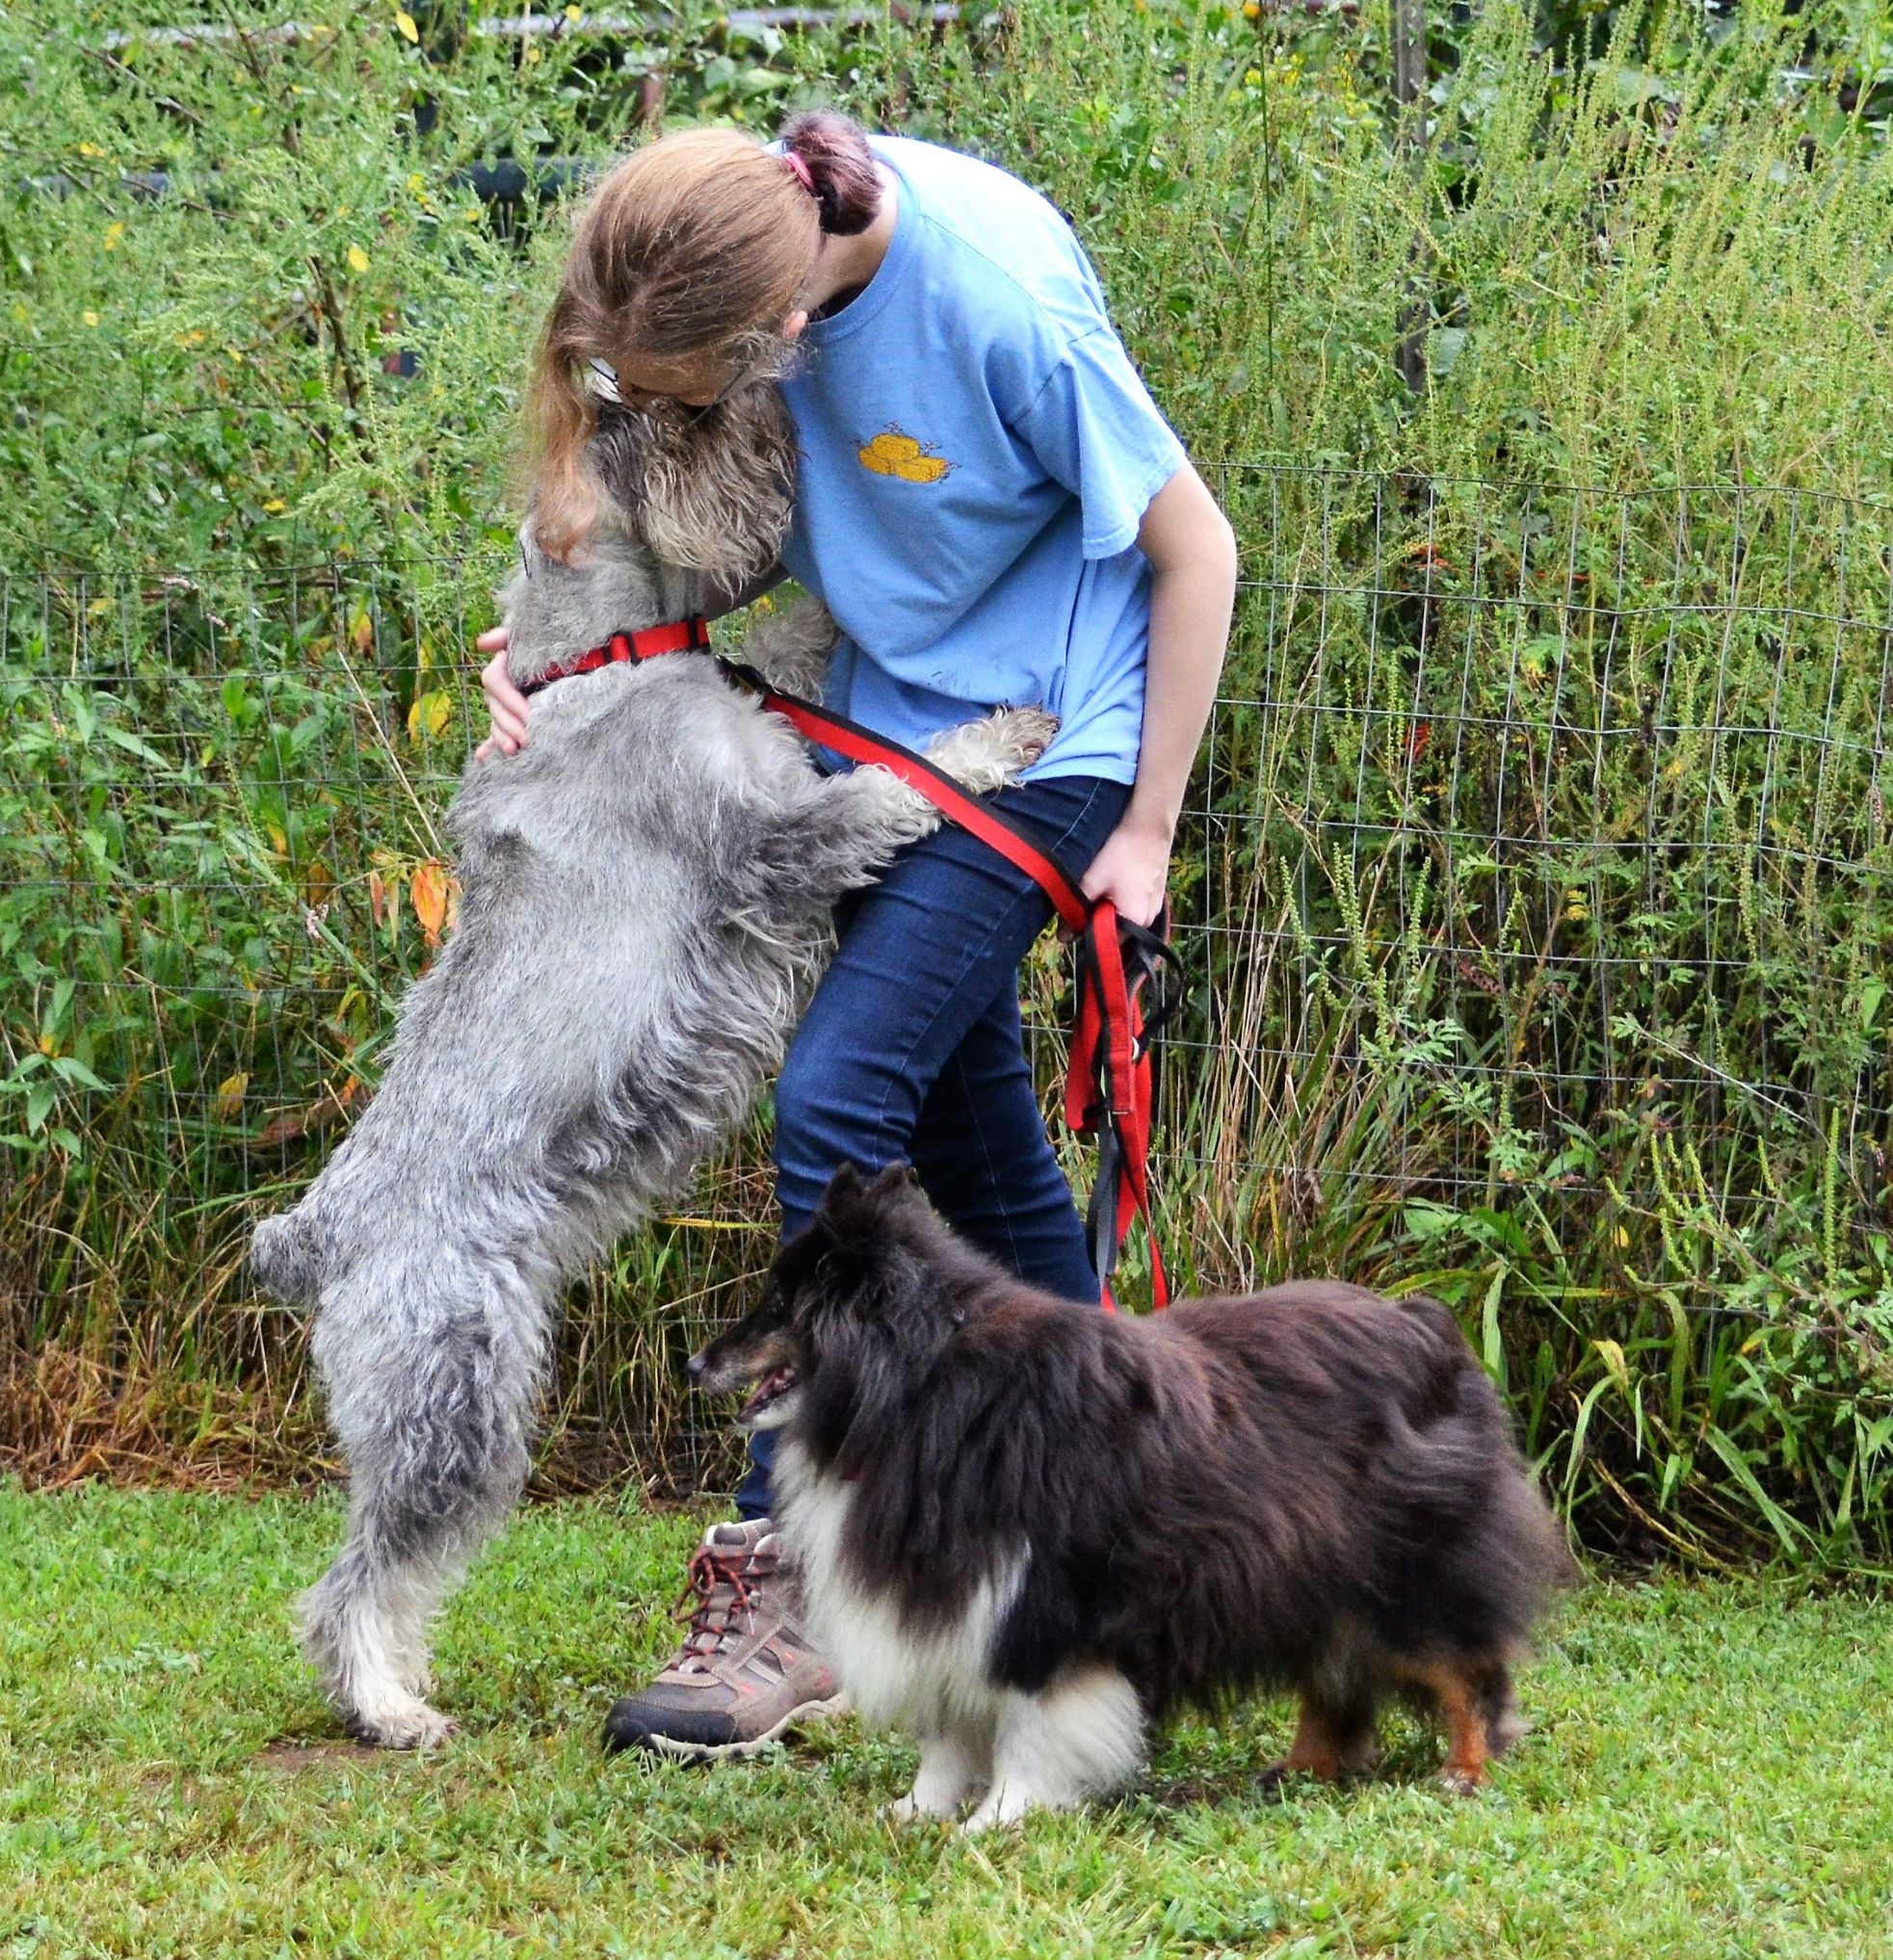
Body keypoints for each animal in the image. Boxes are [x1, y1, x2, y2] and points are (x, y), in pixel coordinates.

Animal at [245, 381, 1058, 1748]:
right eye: (661, 431)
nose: (774, 411)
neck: (595, 664)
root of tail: (322, 1236)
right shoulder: (777, 842)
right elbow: (893, 786)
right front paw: (997, 736)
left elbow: (795, 662)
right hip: (454, 1395)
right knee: (363, 1574)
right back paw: (389, 1708)